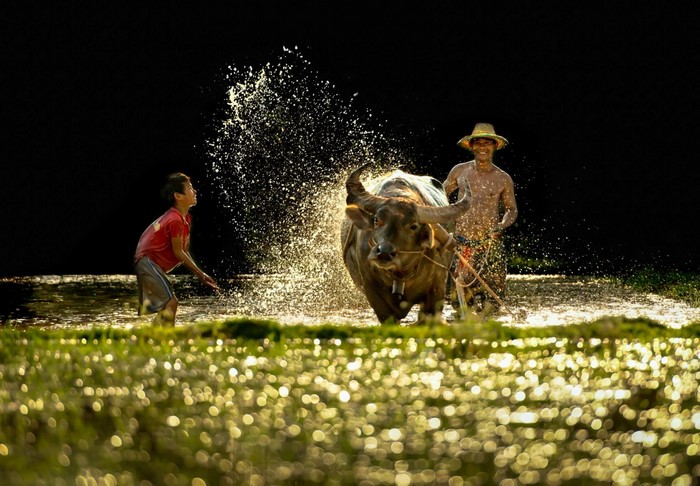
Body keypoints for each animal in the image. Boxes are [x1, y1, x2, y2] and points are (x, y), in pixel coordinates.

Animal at [341, 164, 470, 324]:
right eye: (377, 220)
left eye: (413, 226)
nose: (383, 253)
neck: (400, 275)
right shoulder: (372, 289)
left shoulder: (436, 290)